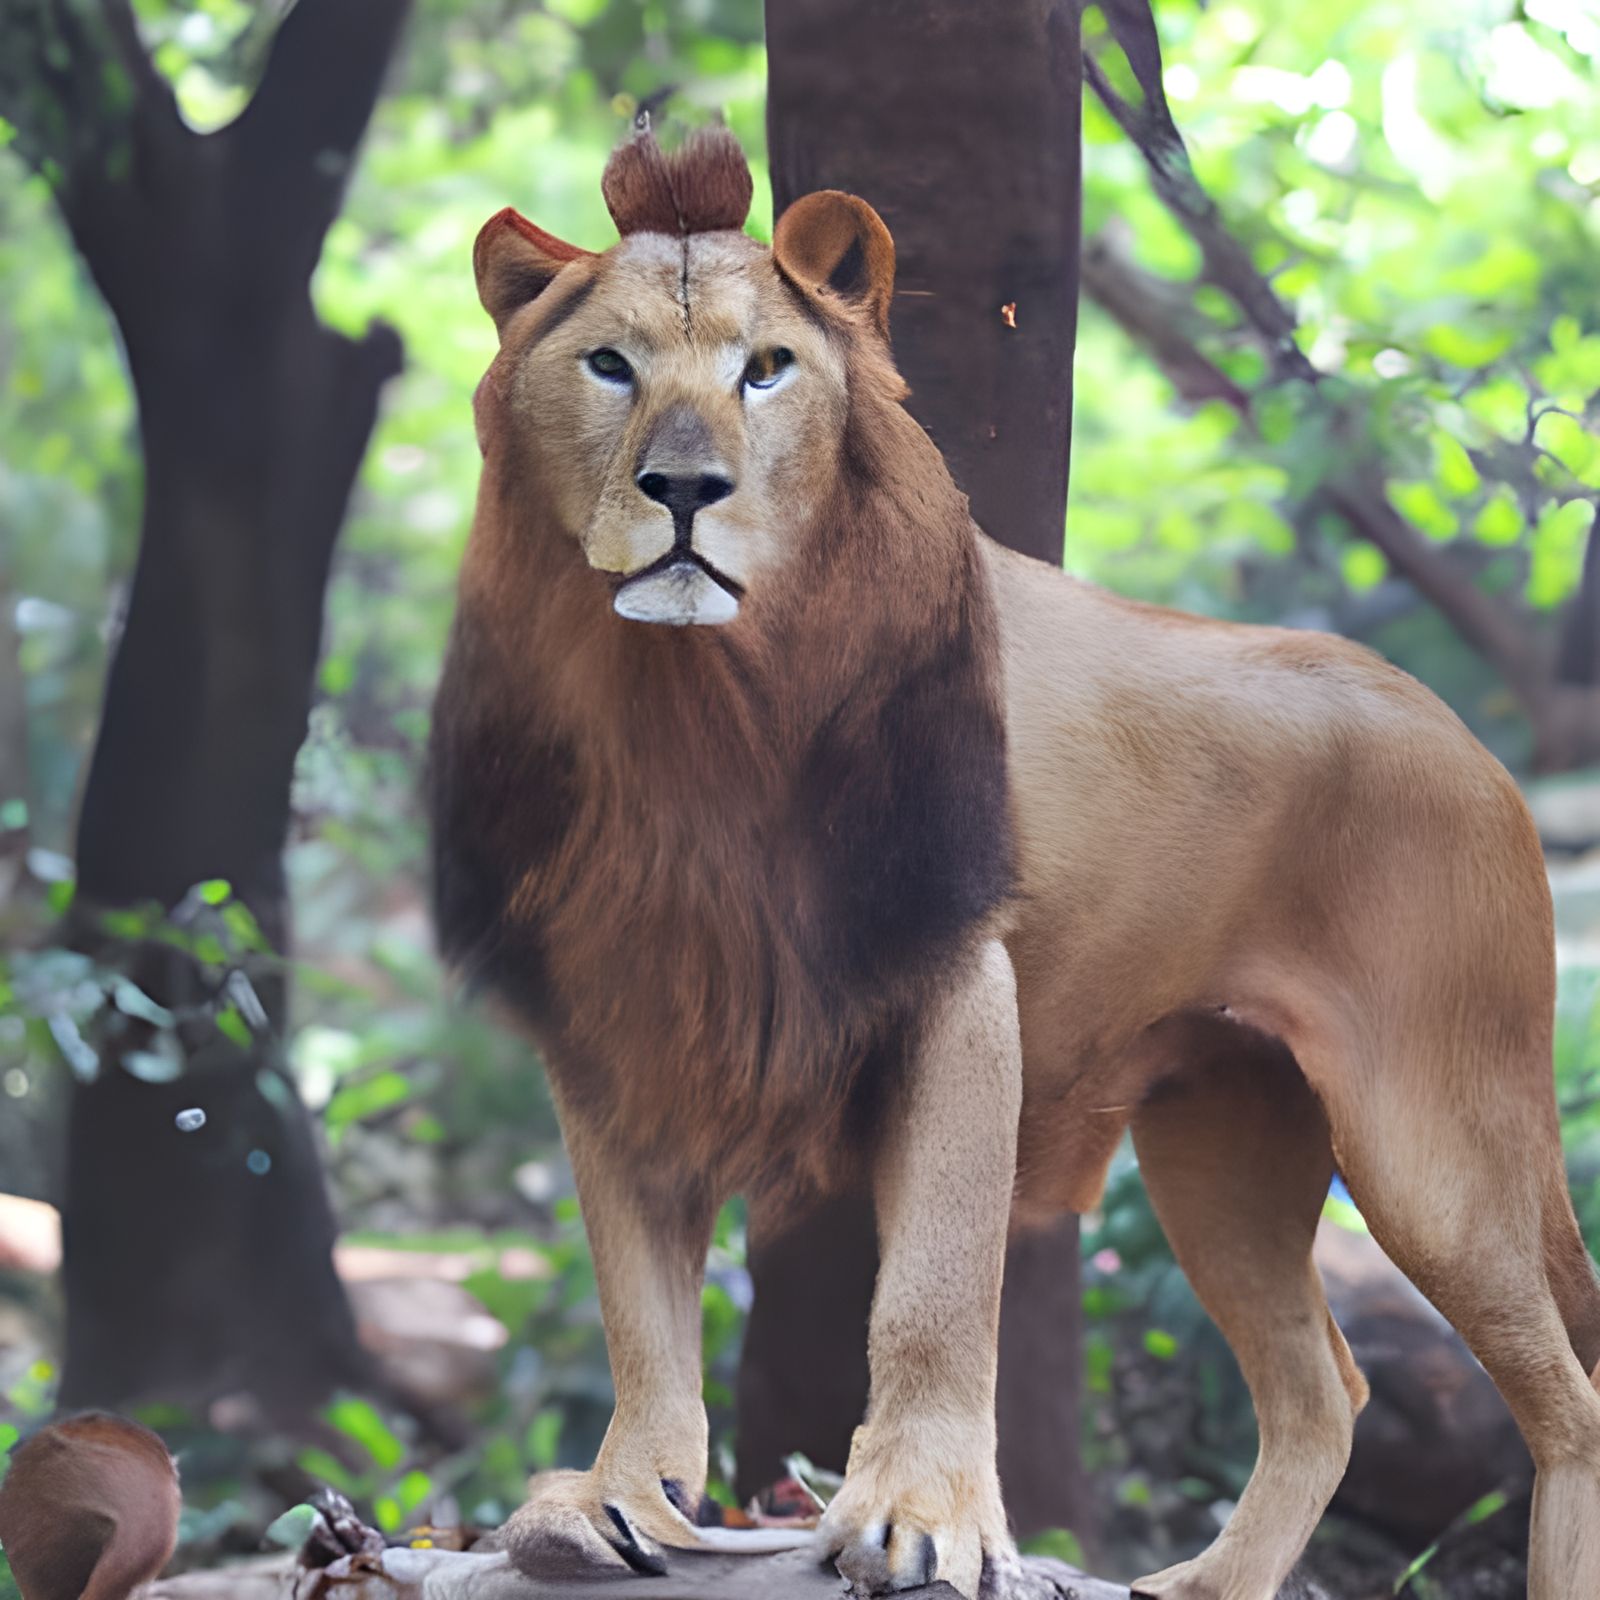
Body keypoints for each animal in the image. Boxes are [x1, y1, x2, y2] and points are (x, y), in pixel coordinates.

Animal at [429, 126, 1600, 1600]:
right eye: (609, 366)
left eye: (768, 367)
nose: (685, 490)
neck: (696, 715)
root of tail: (1477, 747)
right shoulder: (621, 1019)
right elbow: (639, 1307)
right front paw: (615, 1500)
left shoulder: (958, 979)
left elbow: (935, 1284)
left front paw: (918, 1517)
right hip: (1221, 1138)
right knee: (1323, 1388)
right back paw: (1199, 1586)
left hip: (1435, 1140)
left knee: (1567, 1405)